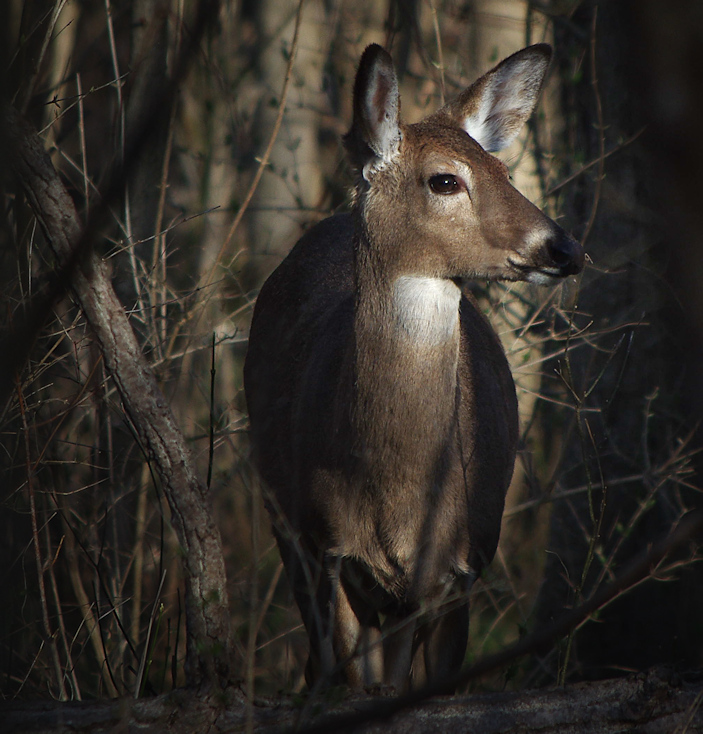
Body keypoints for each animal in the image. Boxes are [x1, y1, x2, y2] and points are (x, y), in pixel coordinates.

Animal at [245, 41, 584, 696]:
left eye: (505, 172)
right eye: (445, 179)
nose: (564, 248)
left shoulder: (463, 568)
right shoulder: (331, 551)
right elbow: (359, 678)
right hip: (282, 523)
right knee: (318, 654)